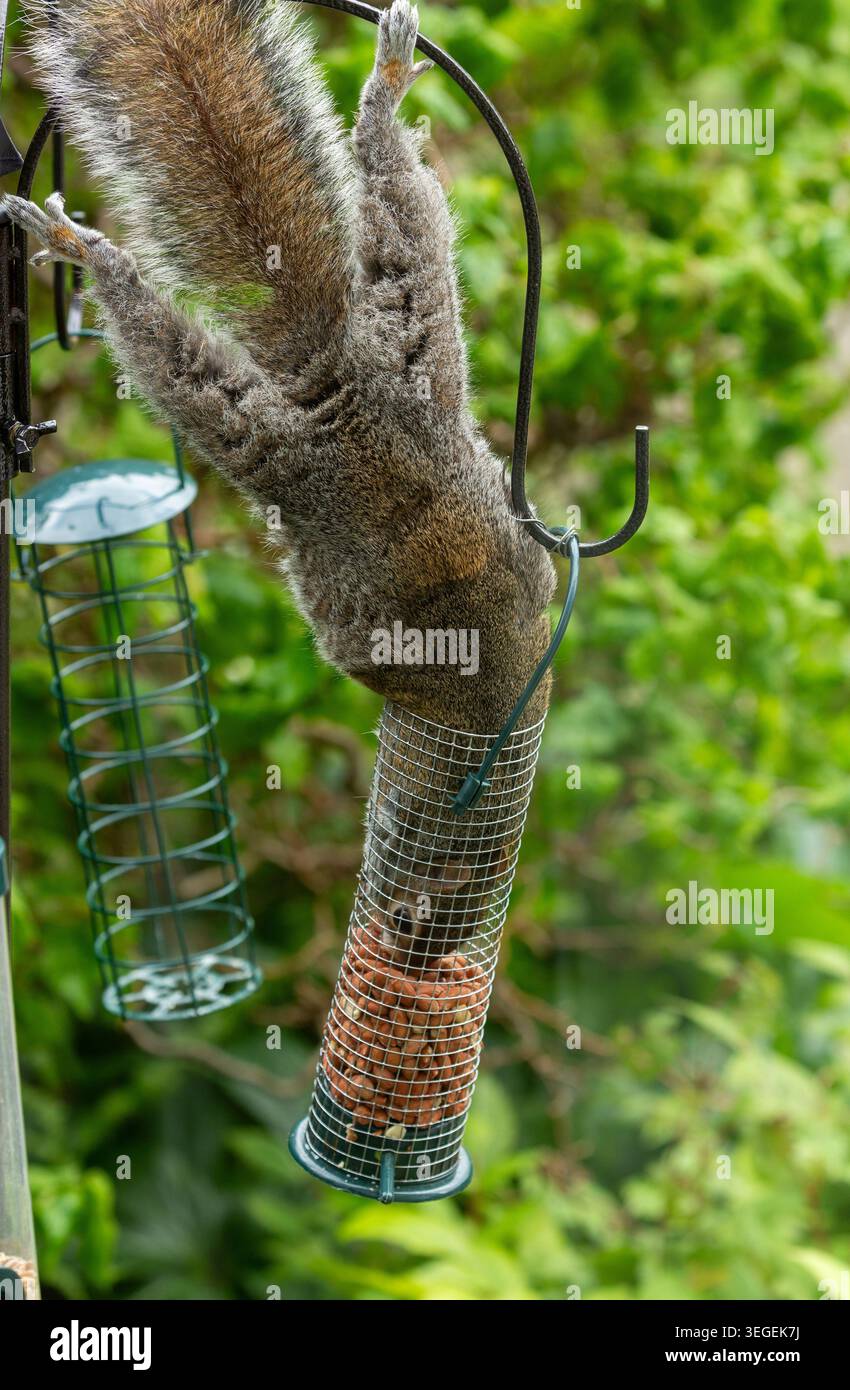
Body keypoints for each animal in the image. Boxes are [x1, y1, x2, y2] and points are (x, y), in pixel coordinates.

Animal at [2, 0, 557, 963]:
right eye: (416, 935)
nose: (402, 940)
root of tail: (342, 388)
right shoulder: (417, 812)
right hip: (268, 434)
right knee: (174, 355)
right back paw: (87, 250)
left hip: (414, 344)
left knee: (397, 208)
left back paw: (385, 91)